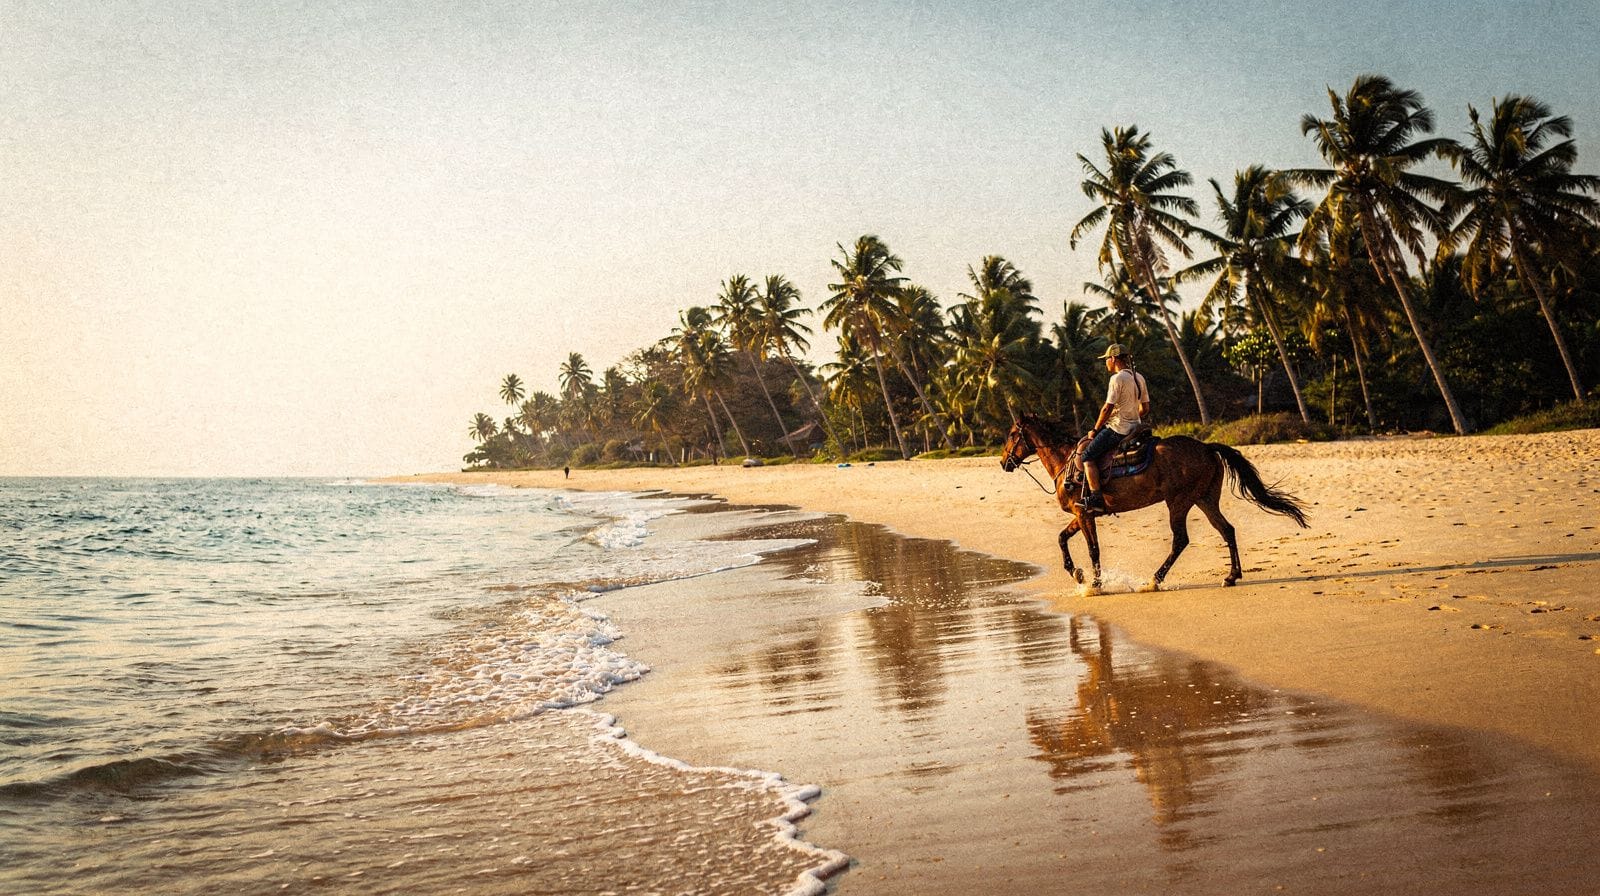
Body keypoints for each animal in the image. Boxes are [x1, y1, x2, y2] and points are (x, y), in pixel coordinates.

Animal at [999, 414, 1308, 589]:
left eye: (1012, 435)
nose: (1004, 462)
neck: (1066, 462)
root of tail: (1207, 447)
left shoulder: (1085, 514)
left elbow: (1093, 549)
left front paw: (1095, 584)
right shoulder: (1081, 514)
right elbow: (1062, 538)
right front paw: (1077, 574)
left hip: (1179, 502)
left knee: (1180, 540)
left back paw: (1154, 580)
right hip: (1205, 499)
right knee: (1227, 530)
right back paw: (1231, 576)